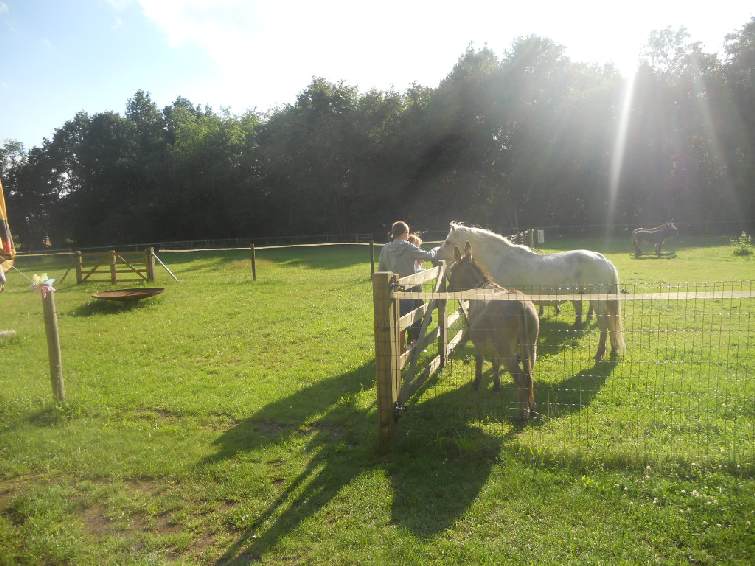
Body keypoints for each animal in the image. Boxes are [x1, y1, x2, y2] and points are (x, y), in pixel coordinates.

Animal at [438, 224, 628, 362]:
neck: (502, 260)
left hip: (597, 301)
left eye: (448, 242)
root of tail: (604, 260)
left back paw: (600, 353)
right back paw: (613, 350)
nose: (436, 255)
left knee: (605, 325)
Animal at [446, 243, 540, 422]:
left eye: (452, 271)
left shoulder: (478, 342)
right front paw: (496, 385)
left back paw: (523, 414)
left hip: (507, 349)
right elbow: (495, 363)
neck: (480, 286)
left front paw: (476, 384)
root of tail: (521, 304)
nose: (448, 290)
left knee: (521, 379)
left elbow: (479, 361)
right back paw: (532, 409)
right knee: (529, 376)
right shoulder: (494, 344)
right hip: (531, 346)